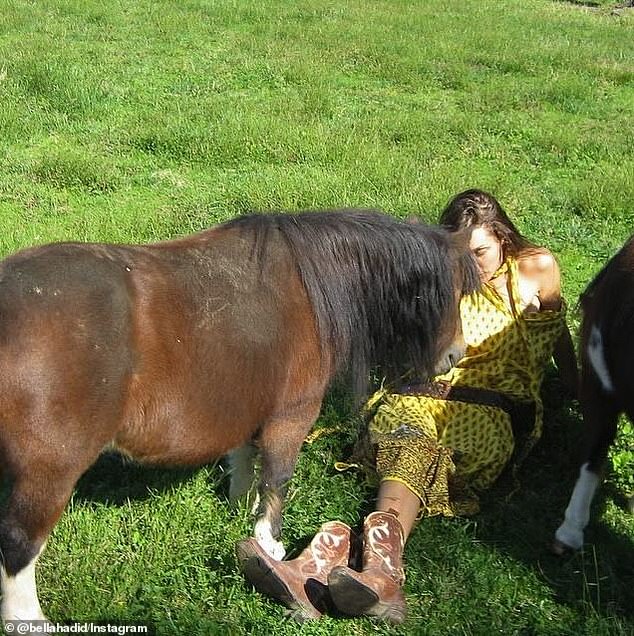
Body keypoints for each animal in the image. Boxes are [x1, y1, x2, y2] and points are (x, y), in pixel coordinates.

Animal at [0, 209, 476, 620]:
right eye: (451, 290)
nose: (456, 355)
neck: (309, 287)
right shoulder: (292, 413)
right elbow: (277, 477)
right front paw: (269, 544)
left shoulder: (253, 407)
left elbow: (246, 462)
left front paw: (239, 510)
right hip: (50, 470)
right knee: (19, 547)